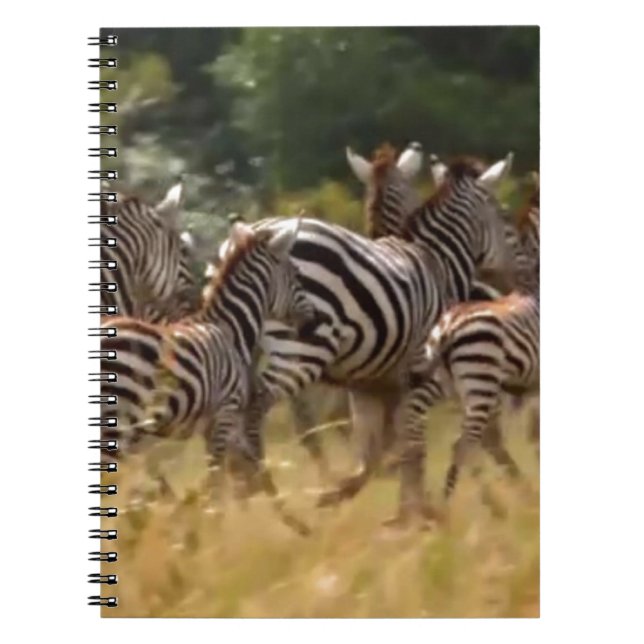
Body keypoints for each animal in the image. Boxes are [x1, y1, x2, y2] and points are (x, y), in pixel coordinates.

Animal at [100, 219, 324, 534]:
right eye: (297, 275)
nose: (313, 321)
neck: (229, 329)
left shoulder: (214, 422)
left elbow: (238, 470)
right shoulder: (225, 413)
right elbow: (218, 480)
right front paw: (211, 529)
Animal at [221, 153, 518, 523]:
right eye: (503, 214)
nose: (509, 282)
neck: (437, 262)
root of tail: (254, 233)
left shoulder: (369, 386)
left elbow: (378, 449)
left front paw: (356, 496)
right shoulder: (423, 376)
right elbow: (410, 441)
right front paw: (415, 512)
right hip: (303, 350)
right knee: (258, 408)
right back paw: (269, 495)